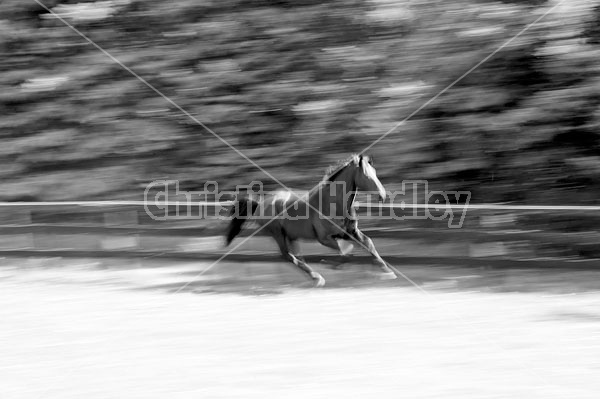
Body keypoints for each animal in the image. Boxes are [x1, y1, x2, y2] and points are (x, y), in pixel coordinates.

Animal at [223, 154, 396, 288]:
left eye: (375, 172)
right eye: (366, 175)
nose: (383, 196)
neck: (333, 203)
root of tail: (260, 203)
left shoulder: (351, 232)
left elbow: (368, 244)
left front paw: (388, 272)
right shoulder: (325, 238)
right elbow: (346, 250)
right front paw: (330, 264)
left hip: (291, 236)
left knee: (296, 256)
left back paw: (315, 278)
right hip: (278, 233)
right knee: (288, 256)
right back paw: (317, 278)